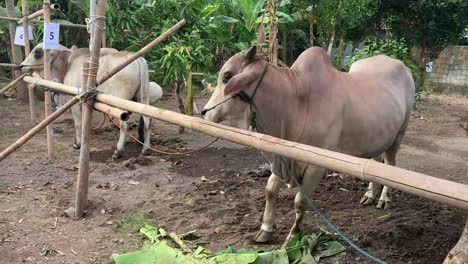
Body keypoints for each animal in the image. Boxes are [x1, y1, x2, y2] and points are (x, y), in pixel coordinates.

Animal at [21, 43, 164, 159]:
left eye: (38, 51)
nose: (21, 66)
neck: (68, 64)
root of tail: (137, 58)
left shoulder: (74, 100)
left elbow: (78, 123)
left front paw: (77, 144)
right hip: (143, 99)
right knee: (148, 121)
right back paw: (145, 149)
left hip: (120, 104)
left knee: (124, 125)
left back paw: (118, 151)